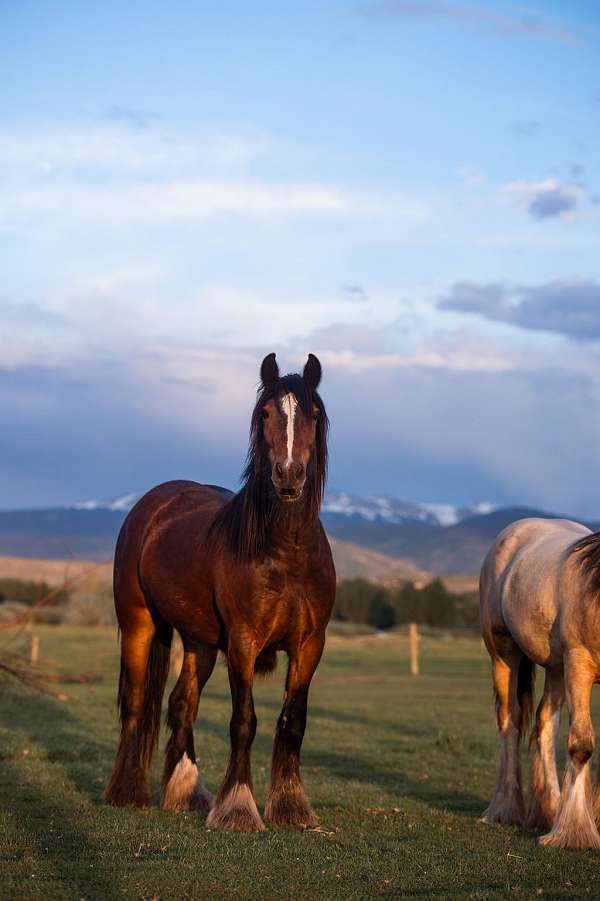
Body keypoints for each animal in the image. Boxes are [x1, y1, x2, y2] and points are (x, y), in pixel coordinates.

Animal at [104, 352, 336, 832]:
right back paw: (127, 791)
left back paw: (186, 791)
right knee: (135, 702)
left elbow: (294, 722)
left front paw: (291, 806)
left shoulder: (310, 645)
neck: (285, 553)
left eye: (313, 414)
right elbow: (244, 720)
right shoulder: (244, 643)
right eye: (265, 413)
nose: (289, 475)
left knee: (181, 703)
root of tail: (153, 503)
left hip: (200, 643)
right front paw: (238, 808)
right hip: (138, 625)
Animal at [480, 516, 600, 849]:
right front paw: (575, 834)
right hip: (504, 655)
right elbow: (581, 744)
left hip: (557, 669)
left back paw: (550, 808)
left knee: (545, 724)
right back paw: (506, 809)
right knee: (509, 724)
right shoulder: (579, 665)